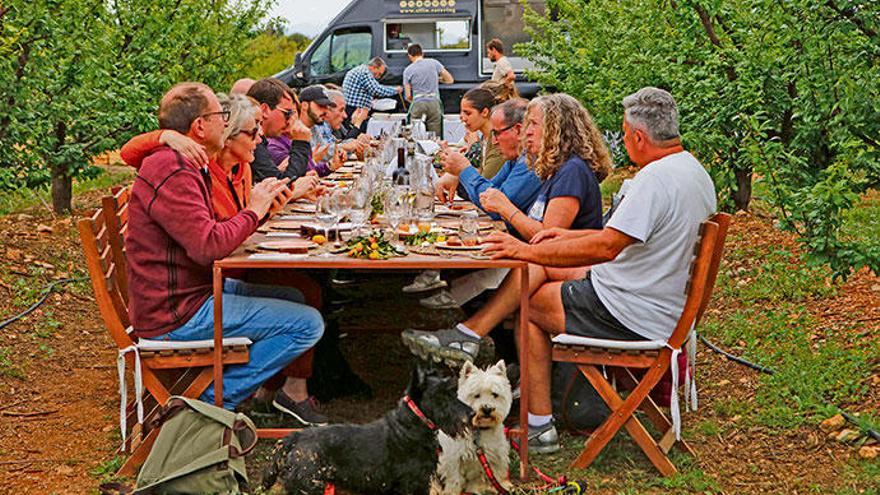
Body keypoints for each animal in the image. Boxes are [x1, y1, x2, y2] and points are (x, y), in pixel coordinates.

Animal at [262, 360, 474, 495]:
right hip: (307, 487)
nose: (471, 414)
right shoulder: (412, 483)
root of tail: (294, 438)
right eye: (443, 395)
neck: (412, 424)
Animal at [430, 360, 512, 495]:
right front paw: (452, 492)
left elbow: (496, 474)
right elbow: (454, 478)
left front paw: (499, 486)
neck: (479, 430)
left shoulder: (496, 455)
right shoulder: (453, 458)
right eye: (476, 395)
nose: (487, 409)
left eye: (495, 394)